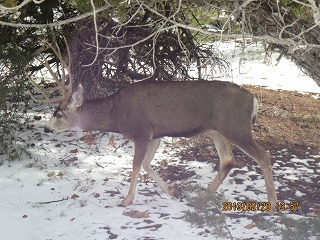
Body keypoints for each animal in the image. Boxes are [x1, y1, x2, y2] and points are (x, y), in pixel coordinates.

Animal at [29, 43, 278, 216]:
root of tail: (254, 100)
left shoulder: (141, 131)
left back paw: (273, 206)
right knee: (228, 160)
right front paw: (172, 191)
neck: (115, 114)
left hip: (236, 127)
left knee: (263, 156)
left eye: (58, 114)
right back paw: (202, 197)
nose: (46, 128)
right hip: (218, 131)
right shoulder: (156, 134)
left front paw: (126, 200)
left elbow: (136, 166)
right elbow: (147, 164)